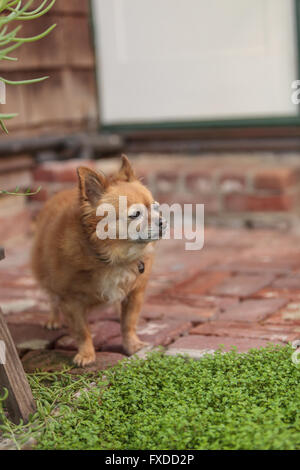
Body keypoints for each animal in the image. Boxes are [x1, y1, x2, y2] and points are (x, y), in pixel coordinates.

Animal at [31, 156, 165, 366]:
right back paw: (53, 319)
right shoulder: (71, 301)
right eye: (136, 214)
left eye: (157, 208)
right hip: (46, 273)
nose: (162, 221)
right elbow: (82, 331)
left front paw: (132, 345)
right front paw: (86, 354)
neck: (115, 258)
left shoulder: (135, 293)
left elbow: (129, 323)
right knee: (52, 298)